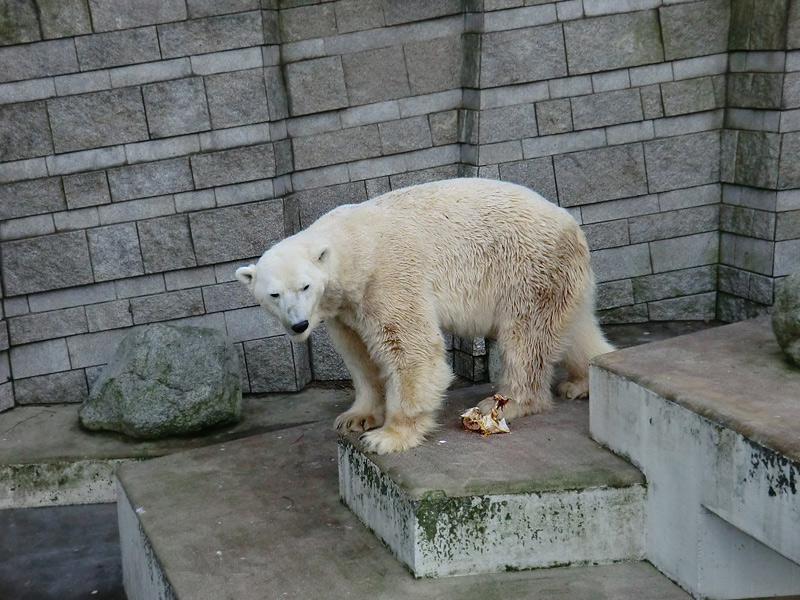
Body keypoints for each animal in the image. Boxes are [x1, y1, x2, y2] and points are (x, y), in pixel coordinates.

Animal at [236, 178, 612, 454]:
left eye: (305, 286)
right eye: (274, 294)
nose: (298, 324)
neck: (353, 248)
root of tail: (572, 224)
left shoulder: (386, 280)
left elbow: (410, 348)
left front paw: (387, 437)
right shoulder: (345, 310)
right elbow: (359, 356)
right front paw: (356, 417)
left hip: (528, 270)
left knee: (526, 337)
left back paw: (505, 403)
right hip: (559, 277)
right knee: (574, 328)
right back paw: (582, 382)